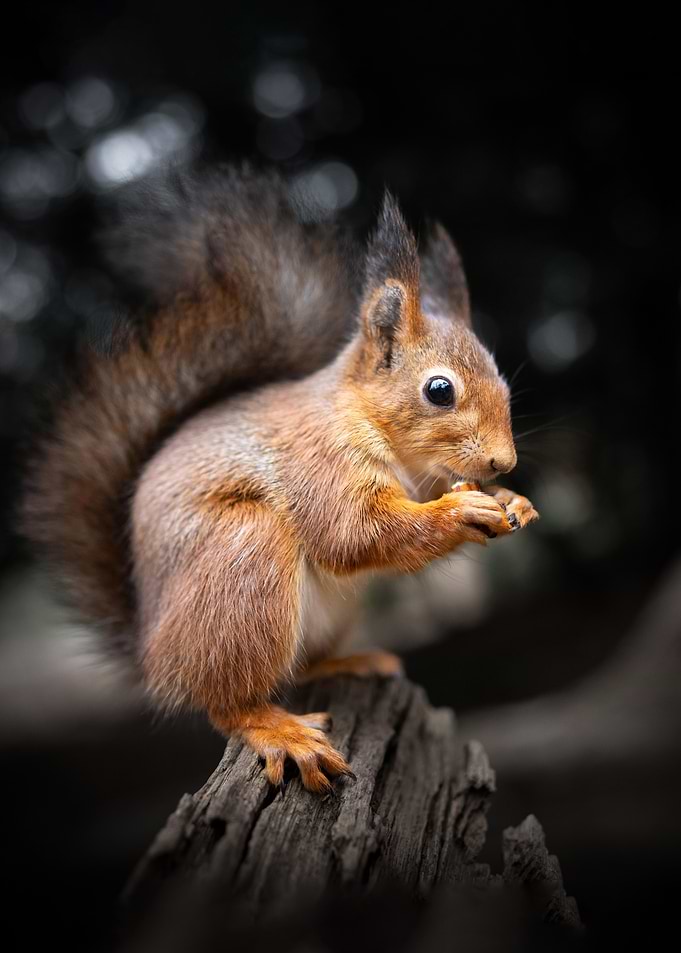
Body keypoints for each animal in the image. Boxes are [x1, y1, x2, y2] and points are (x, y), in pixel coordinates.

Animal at [22, 163, 538, 794]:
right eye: (439, 390)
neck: (368, 422)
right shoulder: (318, 461)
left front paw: (513, 500)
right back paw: (279, 731)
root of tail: (152, 653)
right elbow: (354, 532)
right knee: (227, 702)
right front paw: (461, 512)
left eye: (504, 384)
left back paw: (351, 662)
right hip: (245, 558)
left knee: (300, 667)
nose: (502, 463)